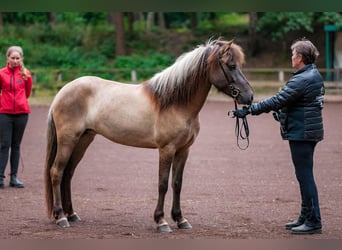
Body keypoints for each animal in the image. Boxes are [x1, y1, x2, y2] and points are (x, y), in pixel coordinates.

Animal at [44, 38, 254, 233]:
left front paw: (180, 219)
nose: (249, 96)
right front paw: (161, 221)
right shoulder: (166, 149)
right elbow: (163, 184)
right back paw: (61, 217)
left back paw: (72, 214)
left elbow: (177, 183)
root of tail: (62, 92)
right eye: (231, 66)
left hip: (83, 140)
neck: (175, 103)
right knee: (56, 172)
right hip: (68, 140)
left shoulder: (183, 150)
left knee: (68, 173)